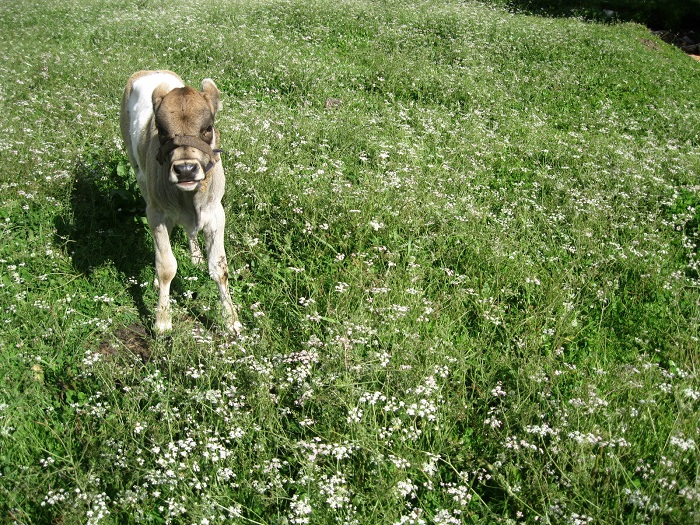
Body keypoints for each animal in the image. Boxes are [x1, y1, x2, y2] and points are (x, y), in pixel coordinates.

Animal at [119, 68, 242, 332]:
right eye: (162, 130)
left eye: (208, 127)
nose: (186, 170)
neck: (190, 198)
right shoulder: (156, 214)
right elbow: (166, 266)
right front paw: (163, 320)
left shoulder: (216, 213)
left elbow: (219, 268)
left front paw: (231, 319)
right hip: (138, 172)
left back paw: (195, 256)